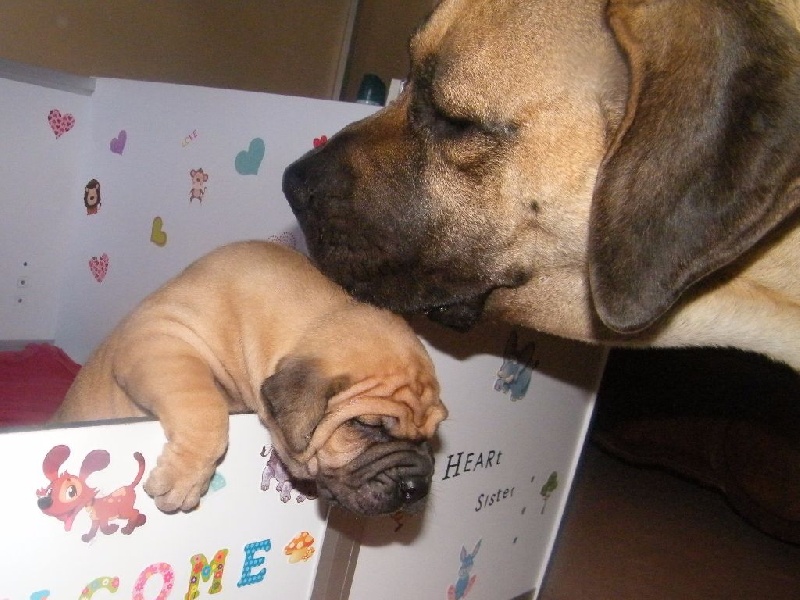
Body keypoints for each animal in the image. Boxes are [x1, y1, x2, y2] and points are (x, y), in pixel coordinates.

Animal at [53, 241, 446, 516]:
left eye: (430, 436)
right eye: (367, 426)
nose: (418, 487)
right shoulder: (159, 337)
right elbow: (203, 405)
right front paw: (186, 477)